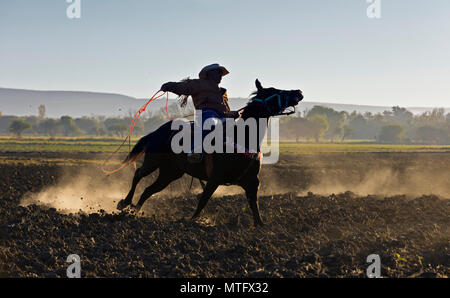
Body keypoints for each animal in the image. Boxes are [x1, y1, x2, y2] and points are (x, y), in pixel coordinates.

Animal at [117, 79, 302, 226]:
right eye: (274, 91)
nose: (298, 92)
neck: (242, 137)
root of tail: (157, 131)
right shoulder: (214, 178)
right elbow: (203, 200)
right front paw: (190, 220)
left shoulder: (252, 181)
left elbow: (253, 205)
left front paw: (260, 225)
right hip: (153, 162)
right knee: (138, 175)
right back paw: (125, 203)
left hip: (171, 173)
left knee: (148, 190)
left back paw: (135, 212)